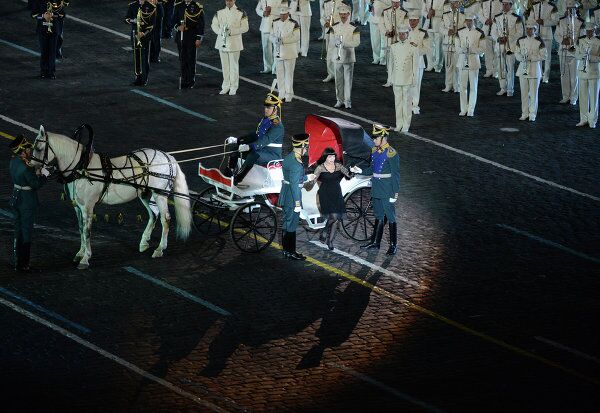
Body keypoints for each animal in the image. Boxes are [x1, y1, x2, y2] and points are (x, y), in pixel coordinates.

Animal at [29, 124, 192, 268]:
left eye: (39, 148)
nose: (31, 167)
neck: (82, 167)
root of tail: (168, 157)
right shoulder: (77, 207)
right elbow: (81, 229)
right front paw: (80, 253)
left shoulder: (88, 207)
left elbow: (87, 231)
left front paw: (85, 259)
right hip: (146, 194)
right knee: (154, 214)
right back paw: (144, 242)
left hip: (160, 195)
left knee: (165, 218)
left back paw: (159, 249)